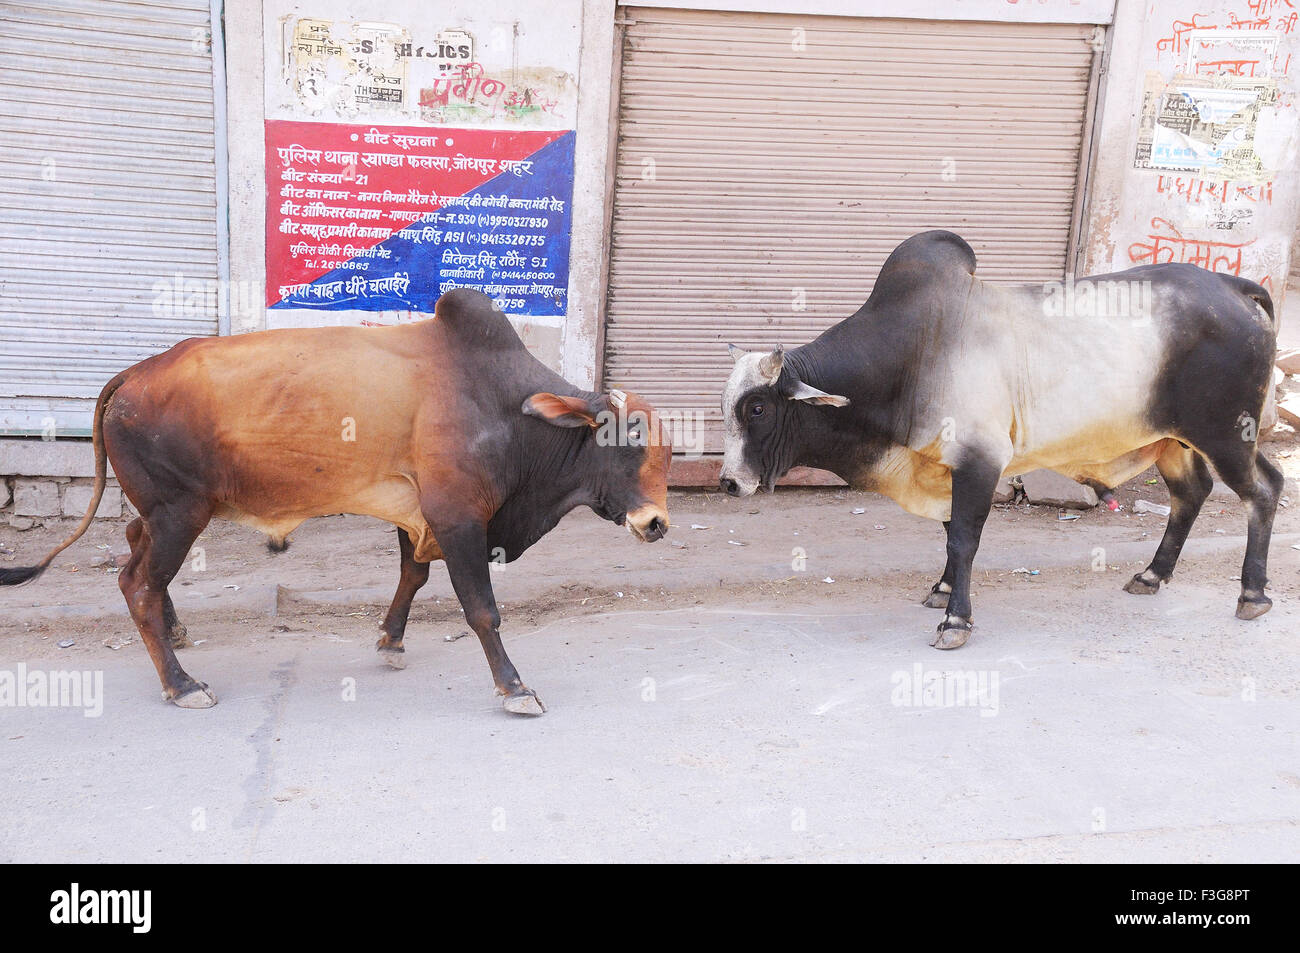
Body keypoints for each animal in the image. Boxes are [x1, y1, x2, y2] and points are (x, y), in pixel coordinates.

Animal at [722, 230, 1279, 647]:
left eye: (757, 407)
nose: (729, 483)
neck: (913, 355)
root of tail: (1232, 285)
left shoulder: (981, 459)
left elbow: (965, 538)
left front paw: (955, 620)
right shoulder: (949, 466)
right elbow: (950, 532)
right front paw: (943, 588)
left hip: (1227, 435)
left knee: (1264, 490)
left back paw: (1252, 595)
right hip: (1175, 441)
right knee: (1192, 493)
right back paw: (1152, 576)